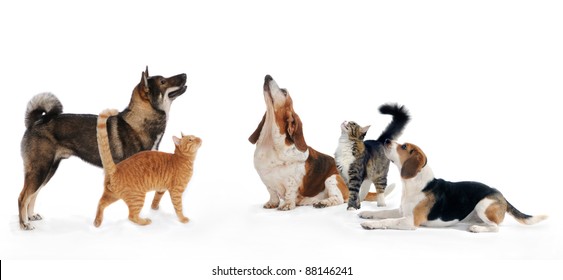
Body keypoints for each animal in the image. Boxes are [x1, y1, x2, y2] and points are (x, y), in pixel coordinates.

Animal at [17, 66, 187, 229]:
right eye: (163, 81)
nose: (185, 74)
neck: (139, 122)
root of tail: (36, 122)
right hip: (40, 169)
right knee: (23, 197)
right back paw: (24, 224)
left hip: (48, 170)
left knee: (33, 194)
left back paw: (31, 216)